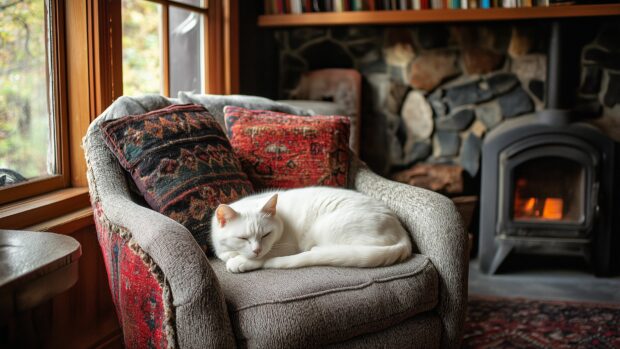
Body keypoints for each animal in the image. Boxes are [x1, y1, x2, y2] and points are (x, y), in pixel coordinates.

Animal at [212, 188, 412, 272]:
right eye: (242, 238)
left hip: (325, 227)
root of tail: (402, 233)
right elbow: (224, 254)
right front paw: (233, 255)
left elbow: (266, 255)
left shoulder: (287, 246)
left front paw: (241, 262)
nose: (257, 250)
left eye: (266, 235)